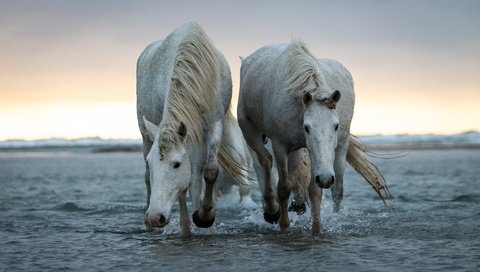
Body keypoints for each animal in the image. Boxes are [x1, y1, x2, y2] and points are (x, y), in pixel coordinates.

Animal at [136, 21, 246, 237]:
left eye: (176, 164)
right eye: (152, 163)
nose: (154, 216)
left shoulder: (213, 125)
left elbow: (208, 171)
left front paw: (204, 216)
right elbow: (182, 187)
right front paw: (187, 227)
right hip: (146, 134)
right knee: (146, 177)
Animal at [238, 40, 392, 234]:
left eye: (336, 126)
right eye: (307, 128)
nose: (326, 178)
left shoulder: (312, 150)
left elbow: (314, 189)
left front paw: (317, 229)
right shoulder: (280, 145)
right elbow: (284, 186)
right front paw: (284, 224)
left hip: (336, 148)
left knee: (336, 188)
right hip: (249, 129)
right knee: (265, 160)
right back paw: (273, 212)